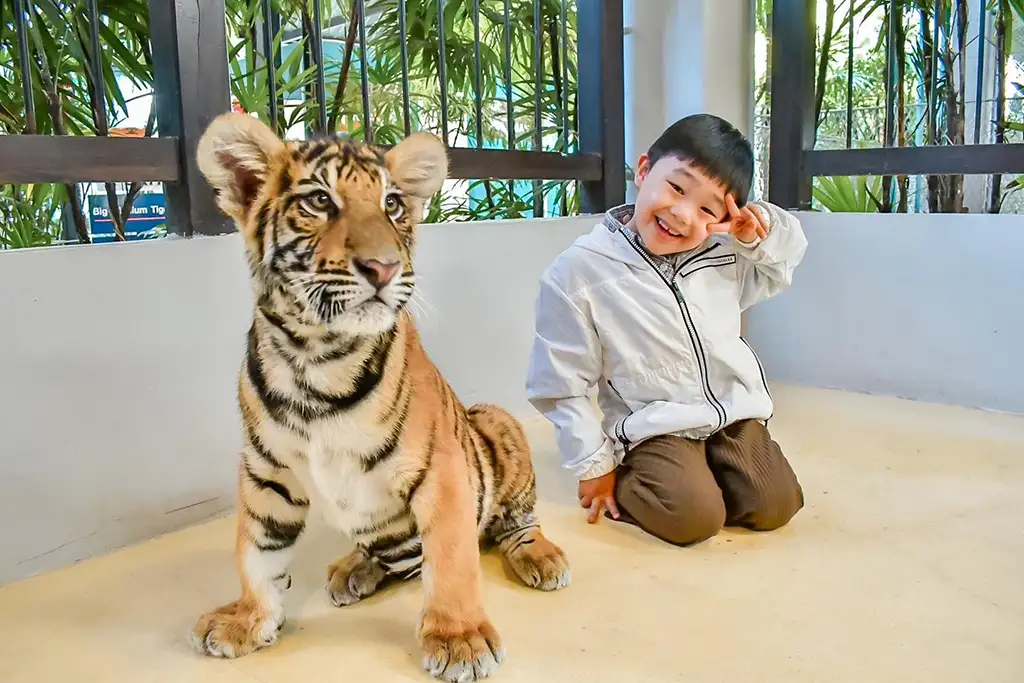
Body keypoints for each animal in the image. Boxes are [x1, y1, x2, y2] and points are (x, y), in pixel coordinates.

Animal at [187, 112, 571, 682]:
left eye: (392, 204)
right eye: (318, 201)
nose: (384, 267)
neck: (315, 358)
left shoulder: (442, 470)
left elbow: (452, 559)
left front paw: (459, 640)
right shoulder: (266, 472)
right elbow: (255, 551)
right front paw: (247, 620)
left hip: (498, 423)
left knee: (515, 524)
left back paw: (542, 558)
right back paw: (353, 568)